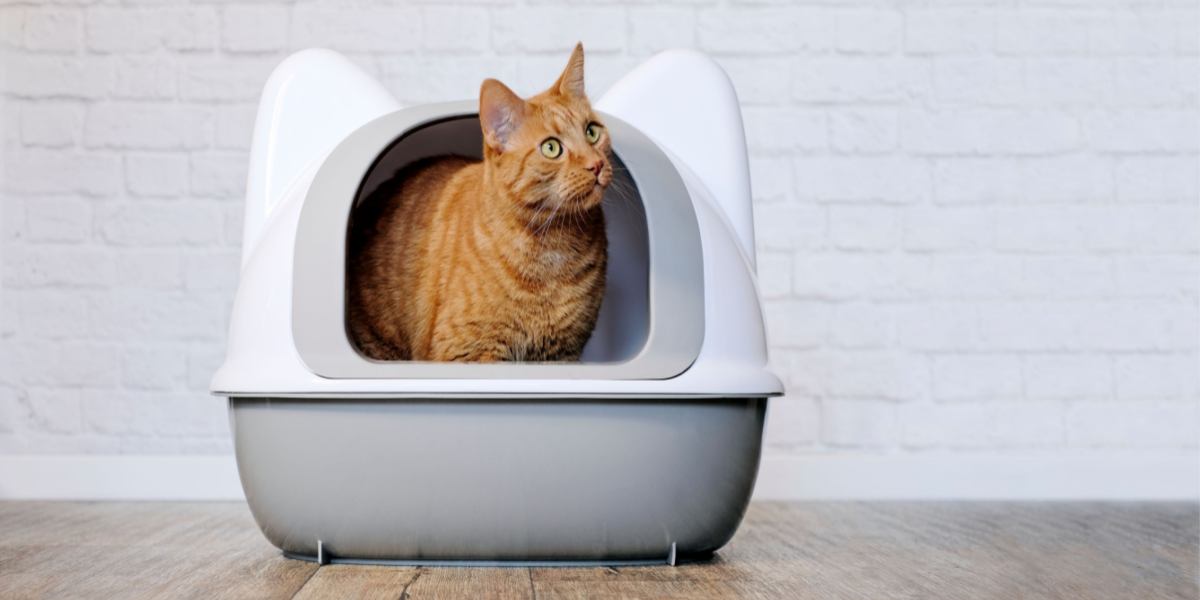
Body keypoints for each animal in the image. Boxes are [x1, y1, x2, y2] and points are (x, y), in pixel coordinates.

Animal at [345, 44, 609, 362]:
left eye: (592, 132)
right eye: (551, 148)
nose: (597, 164)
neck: (555, 245)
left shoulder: (562, 355)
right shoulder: (470, 351)